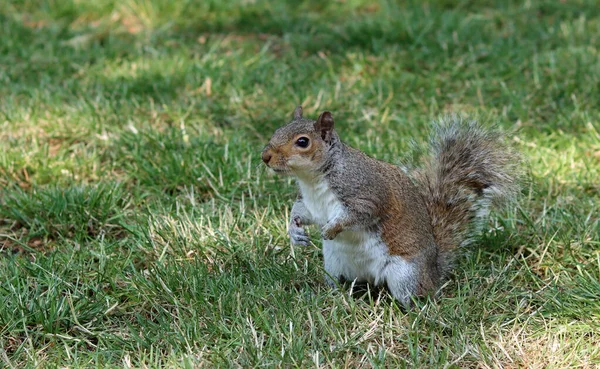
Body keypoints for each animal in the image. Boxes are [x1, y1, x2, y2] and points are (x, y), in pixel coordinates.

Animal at [262, 105, 520, 304]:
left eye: (302, 142)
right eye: (277, 131)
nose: (265, 157)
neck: (313, 179)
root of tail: (433, 271)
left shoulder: (366, 194)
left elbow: (357, 214)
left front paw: (330, 229)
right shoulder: (309, 203)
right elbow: (300, 212)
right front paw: (295, 232)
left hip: (405, 275)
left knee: (418, 296)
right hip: (334, 266)